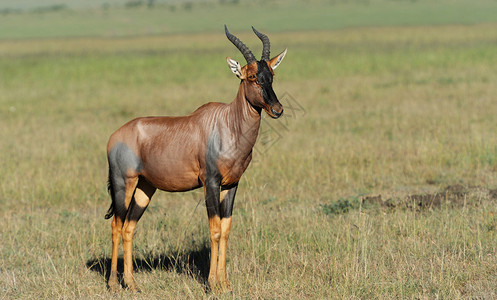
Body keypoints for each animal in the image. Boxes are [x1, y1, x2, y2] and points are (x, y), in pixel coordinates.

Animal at [104, 25, 286, 292]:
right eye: (252, 76)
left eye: (271, 74)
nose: (277, 109)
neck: (227, 122)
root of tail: (114, 136)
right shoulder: (210, 182)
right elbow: (214, 229)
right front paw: (212, 284)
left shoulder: (232, 184)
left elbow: (226, 229)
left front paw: (226, 284)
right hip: (123, 183)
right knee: (116, 226)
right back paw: (114, 284)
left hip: (145, 188)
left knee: (129, 228)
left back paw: (132, 284)